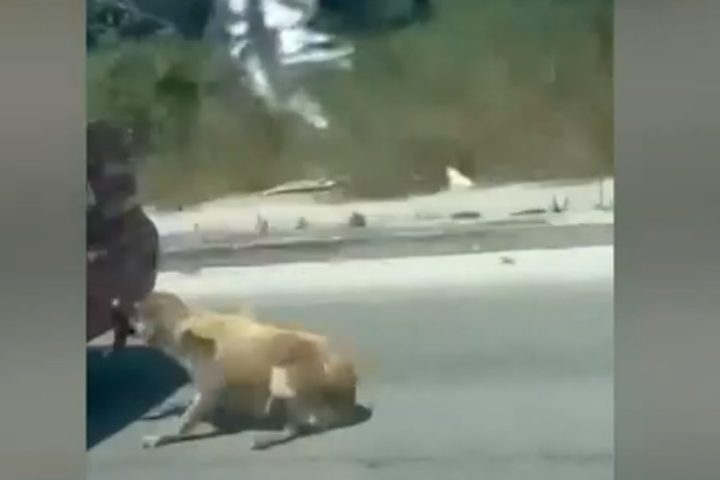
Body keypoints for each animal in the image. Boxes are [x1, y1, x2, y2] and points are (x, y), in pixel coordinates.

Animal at [131, 291, 359, 450]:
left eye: (136, 314)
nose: (127, 312)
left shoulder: (209, 379)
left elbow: (198, 407)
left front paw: (168, 435)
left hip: (297, 374)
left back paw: (280, 432)